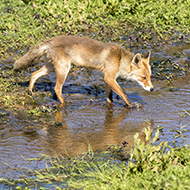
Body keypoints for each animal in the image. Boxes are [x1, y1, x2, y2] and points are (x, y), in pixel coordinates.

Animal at [13, 35, 154, 107]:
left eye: (150, 76)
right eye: (143, 77)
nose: (152, 89)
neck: (119, 59)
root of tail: (52, 40)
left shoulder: (108, 78)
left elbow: (110, 96)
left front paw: (110, 105)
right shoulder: (109, 77)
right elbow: (123, 94)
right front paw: (131, 105)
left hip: (51, 68)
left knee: (34, 74)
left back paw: (30, 92)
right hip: (63, 70)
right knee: (57, 88)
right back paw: (64, 103)